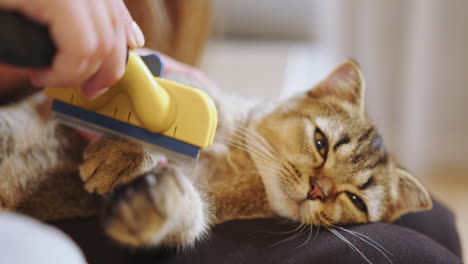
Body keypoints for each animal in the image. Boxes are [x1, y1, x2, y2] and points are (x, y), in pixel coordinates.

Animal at [0, 58, 432, 249]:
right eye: (321, 143)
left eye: (355, 200)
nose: (317, 190)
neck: (238, 166)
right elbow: (158, 106)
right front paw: (125, 151)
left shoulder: (206, 206)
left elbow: (187, 215)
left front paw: (152, 205)